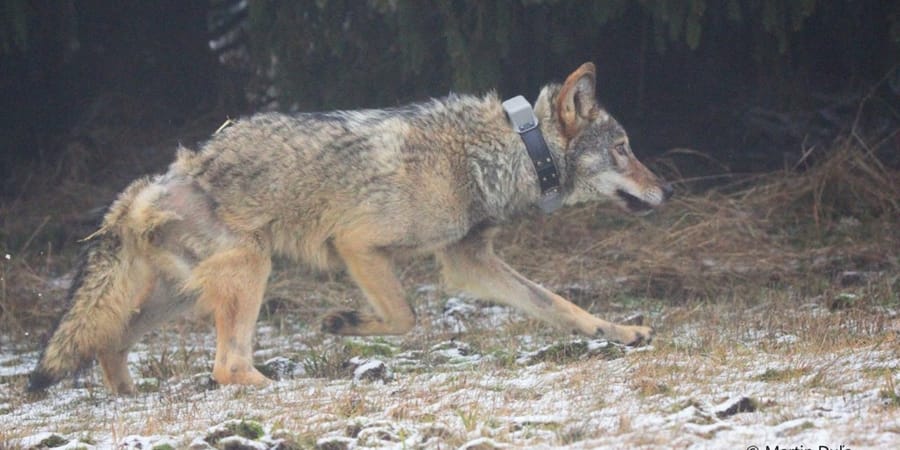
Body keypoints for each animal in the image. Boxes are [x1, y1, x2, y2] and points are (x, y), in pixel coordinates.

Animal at [28, 63, 672, 394]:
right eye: (623, 149)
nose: (667, 192)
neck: (504, 151)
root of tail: (151, 183)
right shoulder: (357, 246)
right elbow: (405, 317)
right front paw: (343, 323)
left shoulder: (469, 262)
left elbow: (560, 305)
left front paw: (623, 333)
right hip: (250, 272)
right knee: (225, 366)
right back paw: (272, 384)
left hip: (182, 295)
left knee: (109, 342)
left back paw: (132, 395)